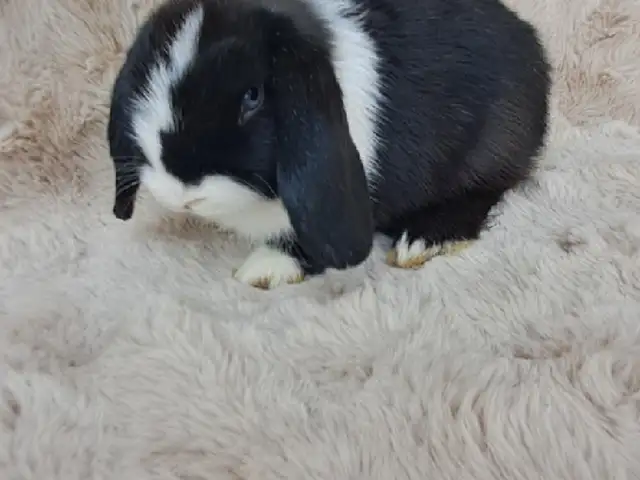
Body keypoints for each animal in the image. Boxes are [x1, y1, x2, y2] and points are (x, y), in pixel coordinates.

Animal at [107, 0, 551, 289]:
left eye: (253, 96)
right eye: (146, 83)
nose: (182, 196)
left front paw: (264, 269)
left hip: (490, 151)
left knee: (485, 191)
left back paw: (423, 240)